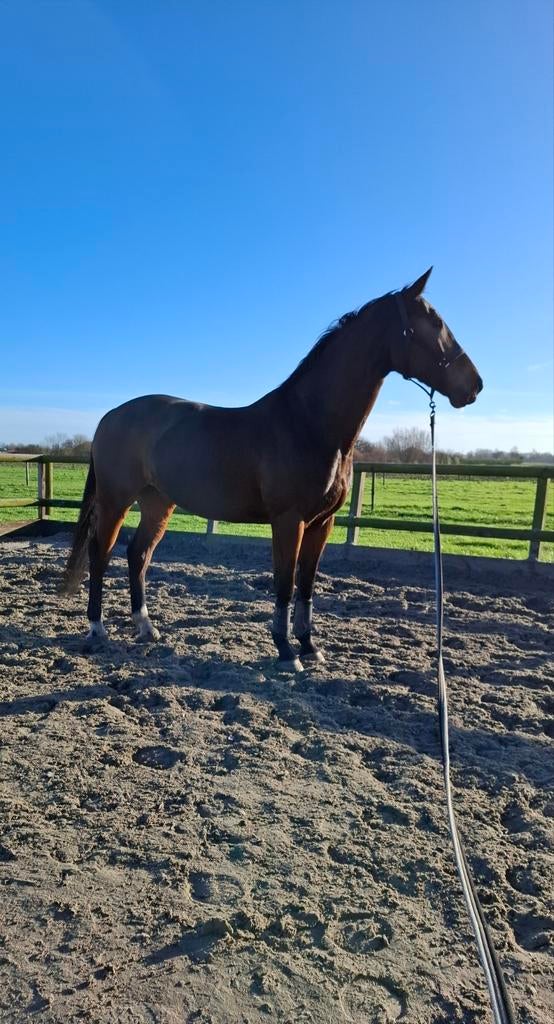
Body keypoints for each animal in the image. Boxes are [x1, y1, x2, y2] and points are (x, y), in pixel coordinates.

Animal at [61, 268, 482, 670]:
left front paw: (310, 647)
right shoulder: (289, 520)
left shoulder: (322, 523)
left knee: (138, 555)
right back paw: (97, 629)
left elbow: (307, 584)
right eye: (434, 323)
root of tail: (111, 416)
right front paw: (285, 651)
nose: (474, 385)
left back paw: (146, 627)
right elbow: (284, 583)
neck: (308, 423)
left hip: (157, 503)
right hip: (116, 500)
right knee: (101, 554)